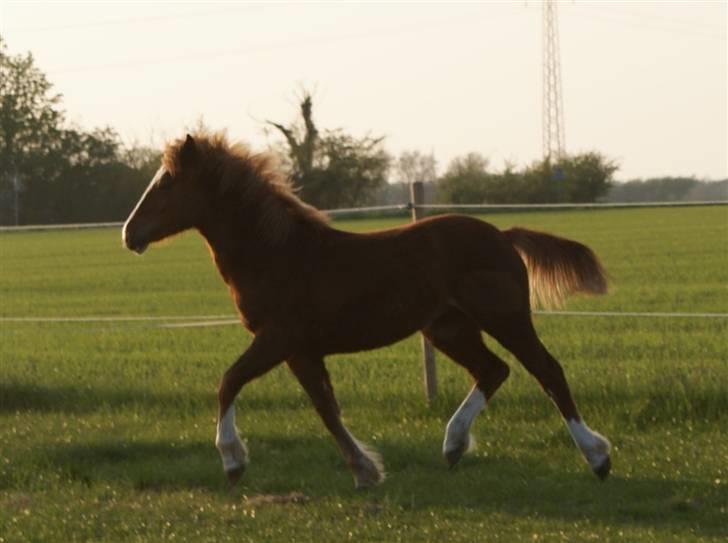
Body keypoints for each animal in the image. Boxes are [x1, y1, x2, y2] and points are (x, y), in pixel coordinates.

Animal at [122, 132, 612, 488]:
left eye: (166, 182)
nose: (130, 233)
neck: (278, 253)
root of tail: (503, 235)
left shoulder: (279, 338)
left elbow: (229, 381)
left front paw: (233, 462)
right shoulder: (301, 350)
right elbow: (326, 409)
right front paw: (366, 470)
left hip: (504, 317)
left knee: (546, 371)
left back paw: (598, 458)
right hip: (447, 328)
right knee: (493, 370)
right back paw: (453, 446)